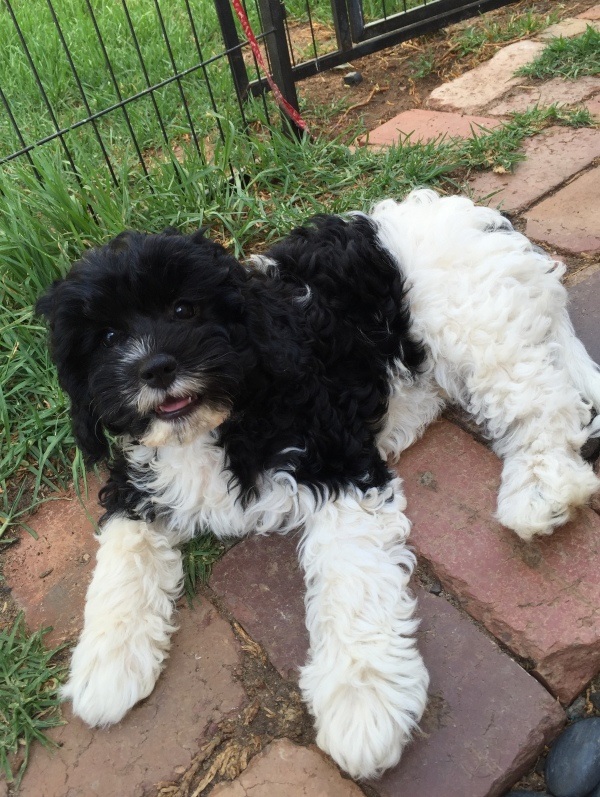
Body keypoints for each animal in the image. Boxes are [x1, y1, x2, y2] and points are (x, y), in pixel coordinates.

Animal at [37, 190, 600, 780]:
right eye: (107, 337)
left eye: (184, 309)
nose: (155, 368)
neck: (217, 422)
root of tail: (487, 223)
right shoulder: (137, 480)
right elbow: (123, 548)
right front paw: (107, 664)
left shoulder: (339, 464)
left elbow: (352, 577)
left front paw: (363, 703)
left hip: (479, 324)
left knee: (544, 404)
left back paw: (541, 492)